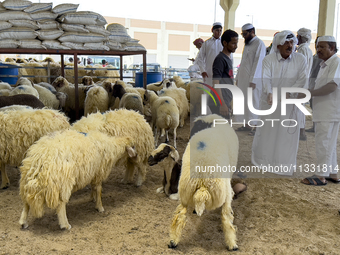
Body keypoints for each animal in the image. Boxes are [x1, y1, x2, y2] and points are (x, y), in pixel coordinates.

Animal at [168, 114, 238, 252]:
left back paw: (173, 242)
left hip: (184, 193)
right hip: (225, 192)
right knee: (226, 218)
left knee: (179, 217)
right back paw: (232, 245)